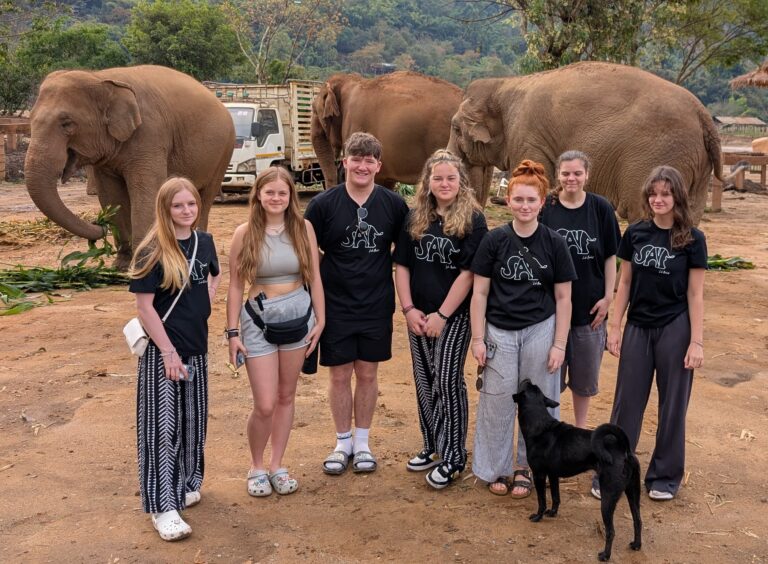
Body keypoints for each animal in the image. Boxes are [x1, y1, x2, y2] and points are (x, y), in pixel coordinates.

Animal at [24, 65, 234, 268]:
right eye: (30, 120)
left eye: (66, 123)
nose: (99, 224)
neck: (100, 77)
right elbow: (111, 195)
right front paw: (122, 265)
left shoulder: (150, 134)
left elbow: (145, 191)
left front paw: (143, 263)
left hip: (224, 152)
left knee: (205, 197)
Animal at [448, 60, 724, 221]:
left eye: (456, 128)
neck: (506, 85)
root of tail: (703, 115)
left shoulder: (528, 137)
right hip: (697, 164)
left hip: (657, 156)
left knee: (643, 213)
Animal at [516, 378, 640, 560]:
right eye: (533, 386)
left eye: (525, 386)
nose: (528, 378)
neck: (540, 425)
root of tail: (623, 449)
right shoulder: (553, 475)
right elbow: (556, 497)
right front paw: (552, 513)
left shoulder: (539, 475)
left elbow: (542, 500)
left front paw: (538, 516)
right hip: (632, 493)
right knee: (638, 520)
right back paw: (637, 545)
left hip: (608, 497)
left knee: (611, 531)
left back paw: (605, 555)